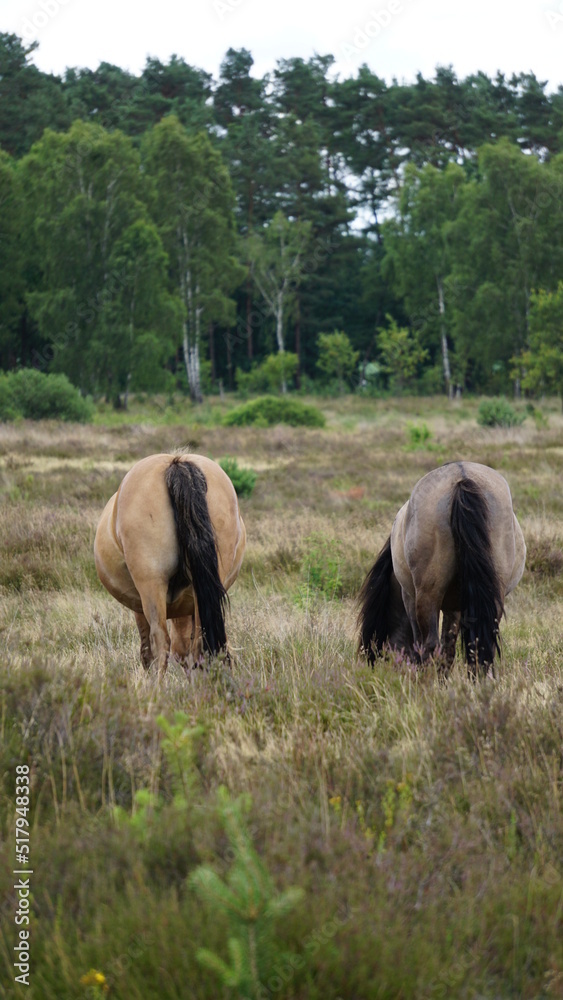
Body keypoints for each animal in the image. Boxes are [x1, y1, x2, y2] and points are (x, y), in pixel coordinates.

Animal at [94, 453, 246, 675]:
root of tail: (177, 462)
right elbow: (185, 650)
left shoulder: (141, 607)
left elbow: (148, 652)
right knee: (199, 644)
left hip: (151, 586)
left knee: (160, 643)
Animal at [358, 461, 526, 675]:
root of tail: (462, 479)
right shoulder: (454, 608)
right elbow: (449, 649)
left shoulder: (409, 597)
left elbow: (422, 645)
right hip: (493, 596)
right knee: (479, 647)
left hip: (427, 596)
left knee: (429, 645)